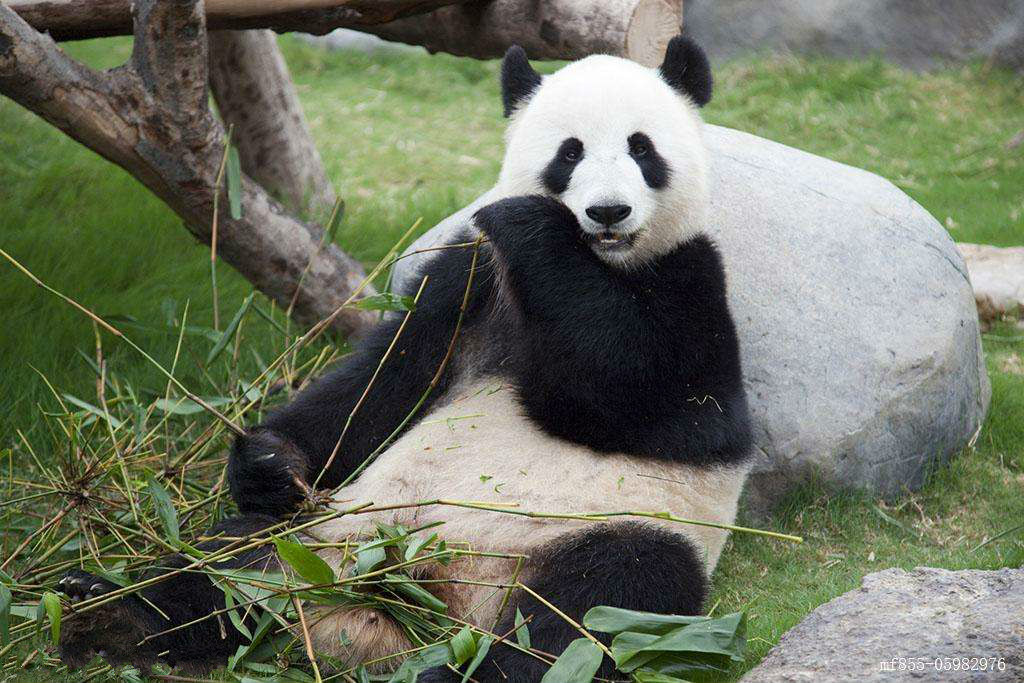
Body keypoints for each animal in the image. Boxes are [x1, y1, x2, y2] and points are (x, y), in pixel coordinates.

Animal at [56, 37, 753, 683]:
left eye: (642, 149)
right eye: (570, 152)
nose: (608, 211)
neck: (602, 264)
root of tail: (416, 608)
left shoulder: (692, 284)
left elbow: (652, 400)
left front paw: (531, 223)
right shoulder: (467, 284)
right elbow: (382, 382)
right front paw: (270, 461)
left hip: (601, 536)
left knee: (595, 607)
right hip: (326, 539)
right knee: (233, 565)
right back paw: (112, 614)